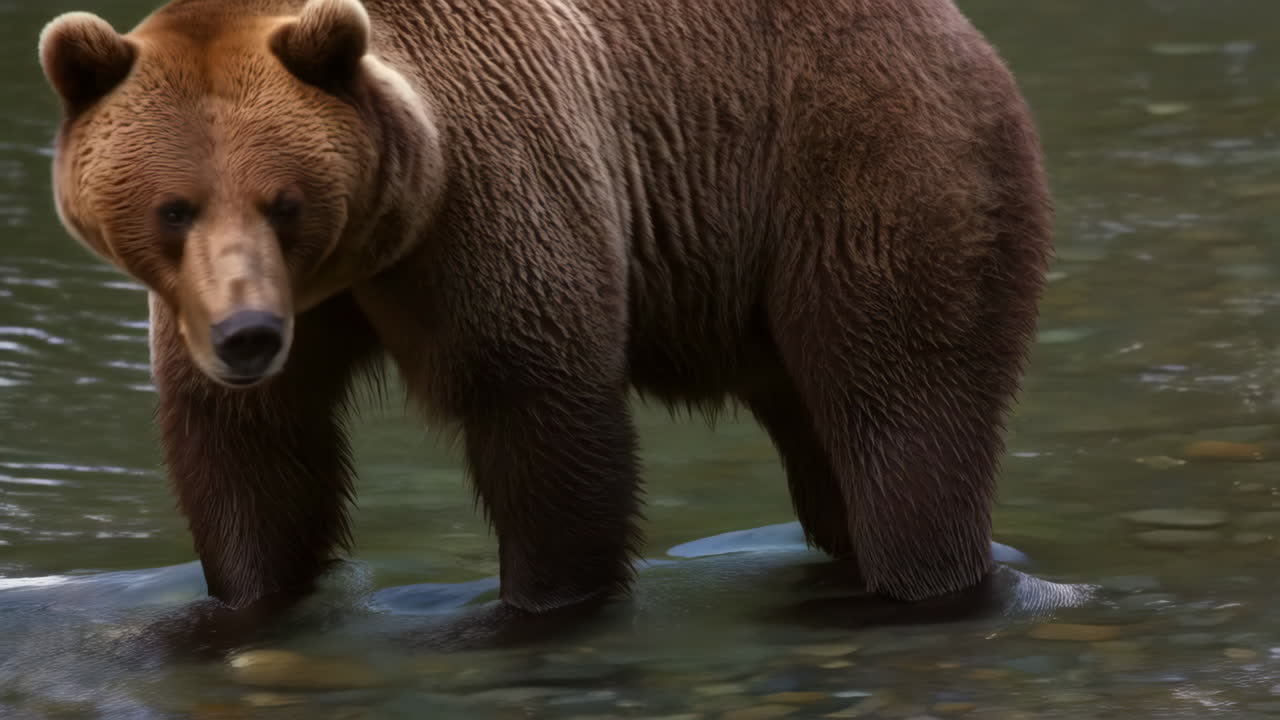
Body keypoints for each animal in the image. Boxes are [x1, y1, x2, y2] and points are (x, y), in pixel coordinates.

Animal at [37, 0, 1052, 621]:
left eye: (284, 200)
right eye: (175, 208)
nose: (248, 335)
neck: (367, 247)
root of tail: (960, 31)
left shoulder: (493, 198)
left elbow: (543, 421)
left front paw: (529, 610)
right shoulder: (249, 315)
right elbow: (251, 458)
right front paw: (243, 603)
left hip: (864, 170)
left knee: (904, 420)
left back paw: (926, 582)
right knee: (829, 451)